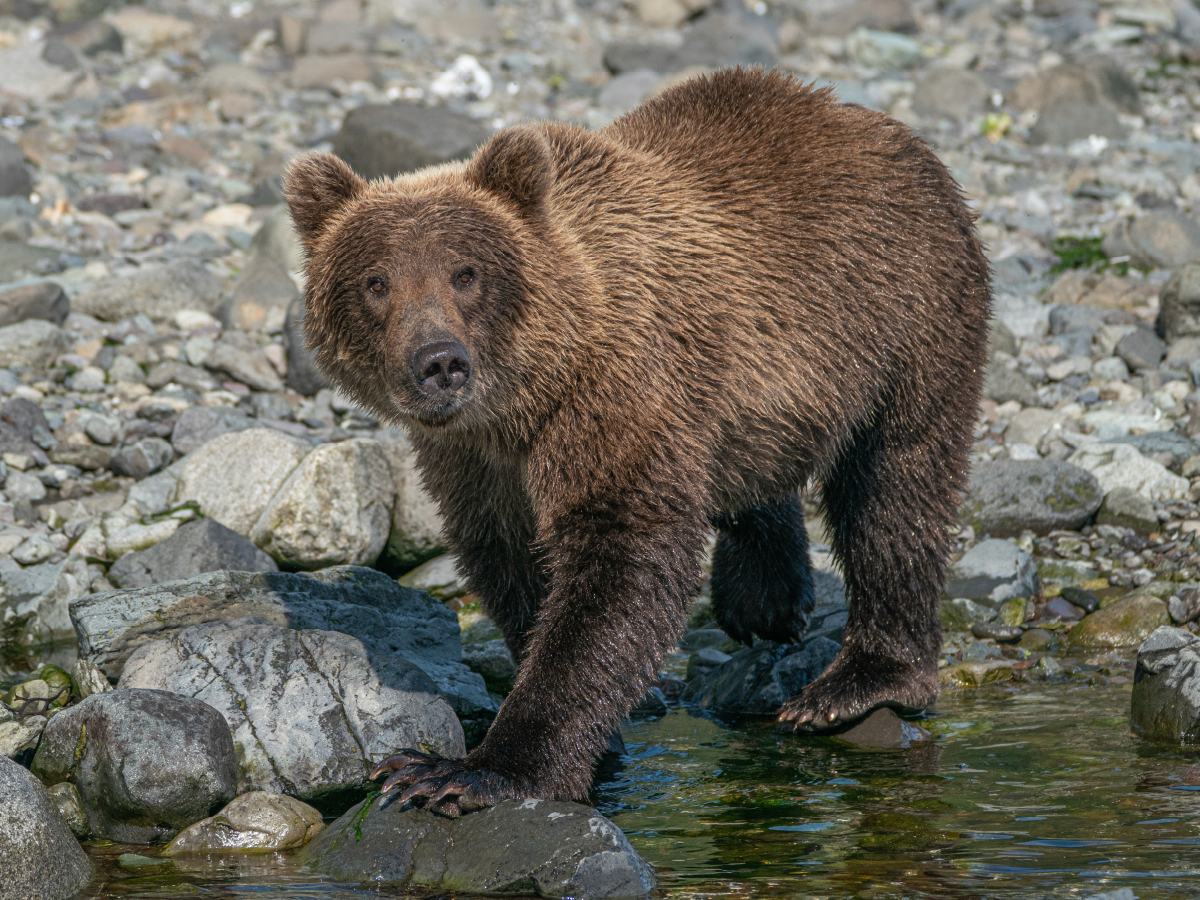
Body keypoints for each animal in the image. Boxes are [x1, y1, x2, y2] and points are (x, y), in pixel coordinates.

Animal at [285, 68, 988, 816]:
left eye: (465, 273)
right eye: (376, 282)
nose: (439, 361)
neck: (527, 399)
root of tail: (871, 122)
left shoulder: (616, 395)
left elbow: (620, 563)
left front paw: (469, 770)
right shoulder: (476, 462)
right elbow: (515, 565)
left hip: (903, 314)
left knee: (894, 487)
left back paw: (856, 682)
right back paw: (764, 596)